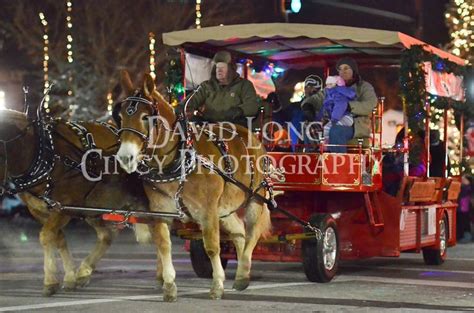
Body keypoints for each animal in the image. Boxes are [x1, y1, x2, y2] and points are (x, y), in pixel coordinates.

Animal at [0, 109, 148, 294]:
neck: (45, 154)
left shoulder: (64, 206)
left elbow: (46, 236)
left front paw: (50, 280)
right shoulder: (41, 210)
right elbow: (58, 238)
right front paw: (70, 276)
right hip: (94, 207)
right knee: (106, 235)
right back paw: (84, 272)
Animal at [114, 70, 270, 300]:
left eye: (145, 117)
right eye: (122, 116)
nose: (125, 157)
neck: (179, 159)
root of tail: (251, 135)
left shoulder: (207, 211)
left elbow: (212, 246)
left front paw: (217, 285)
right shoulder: (161, 210)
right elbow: (163, 245)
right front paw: (169, 285)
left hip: (254, 197)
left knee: (252, 233)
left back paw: (242, 274)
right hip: (225, 208)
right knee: (239, 232)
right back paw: (243, 270)